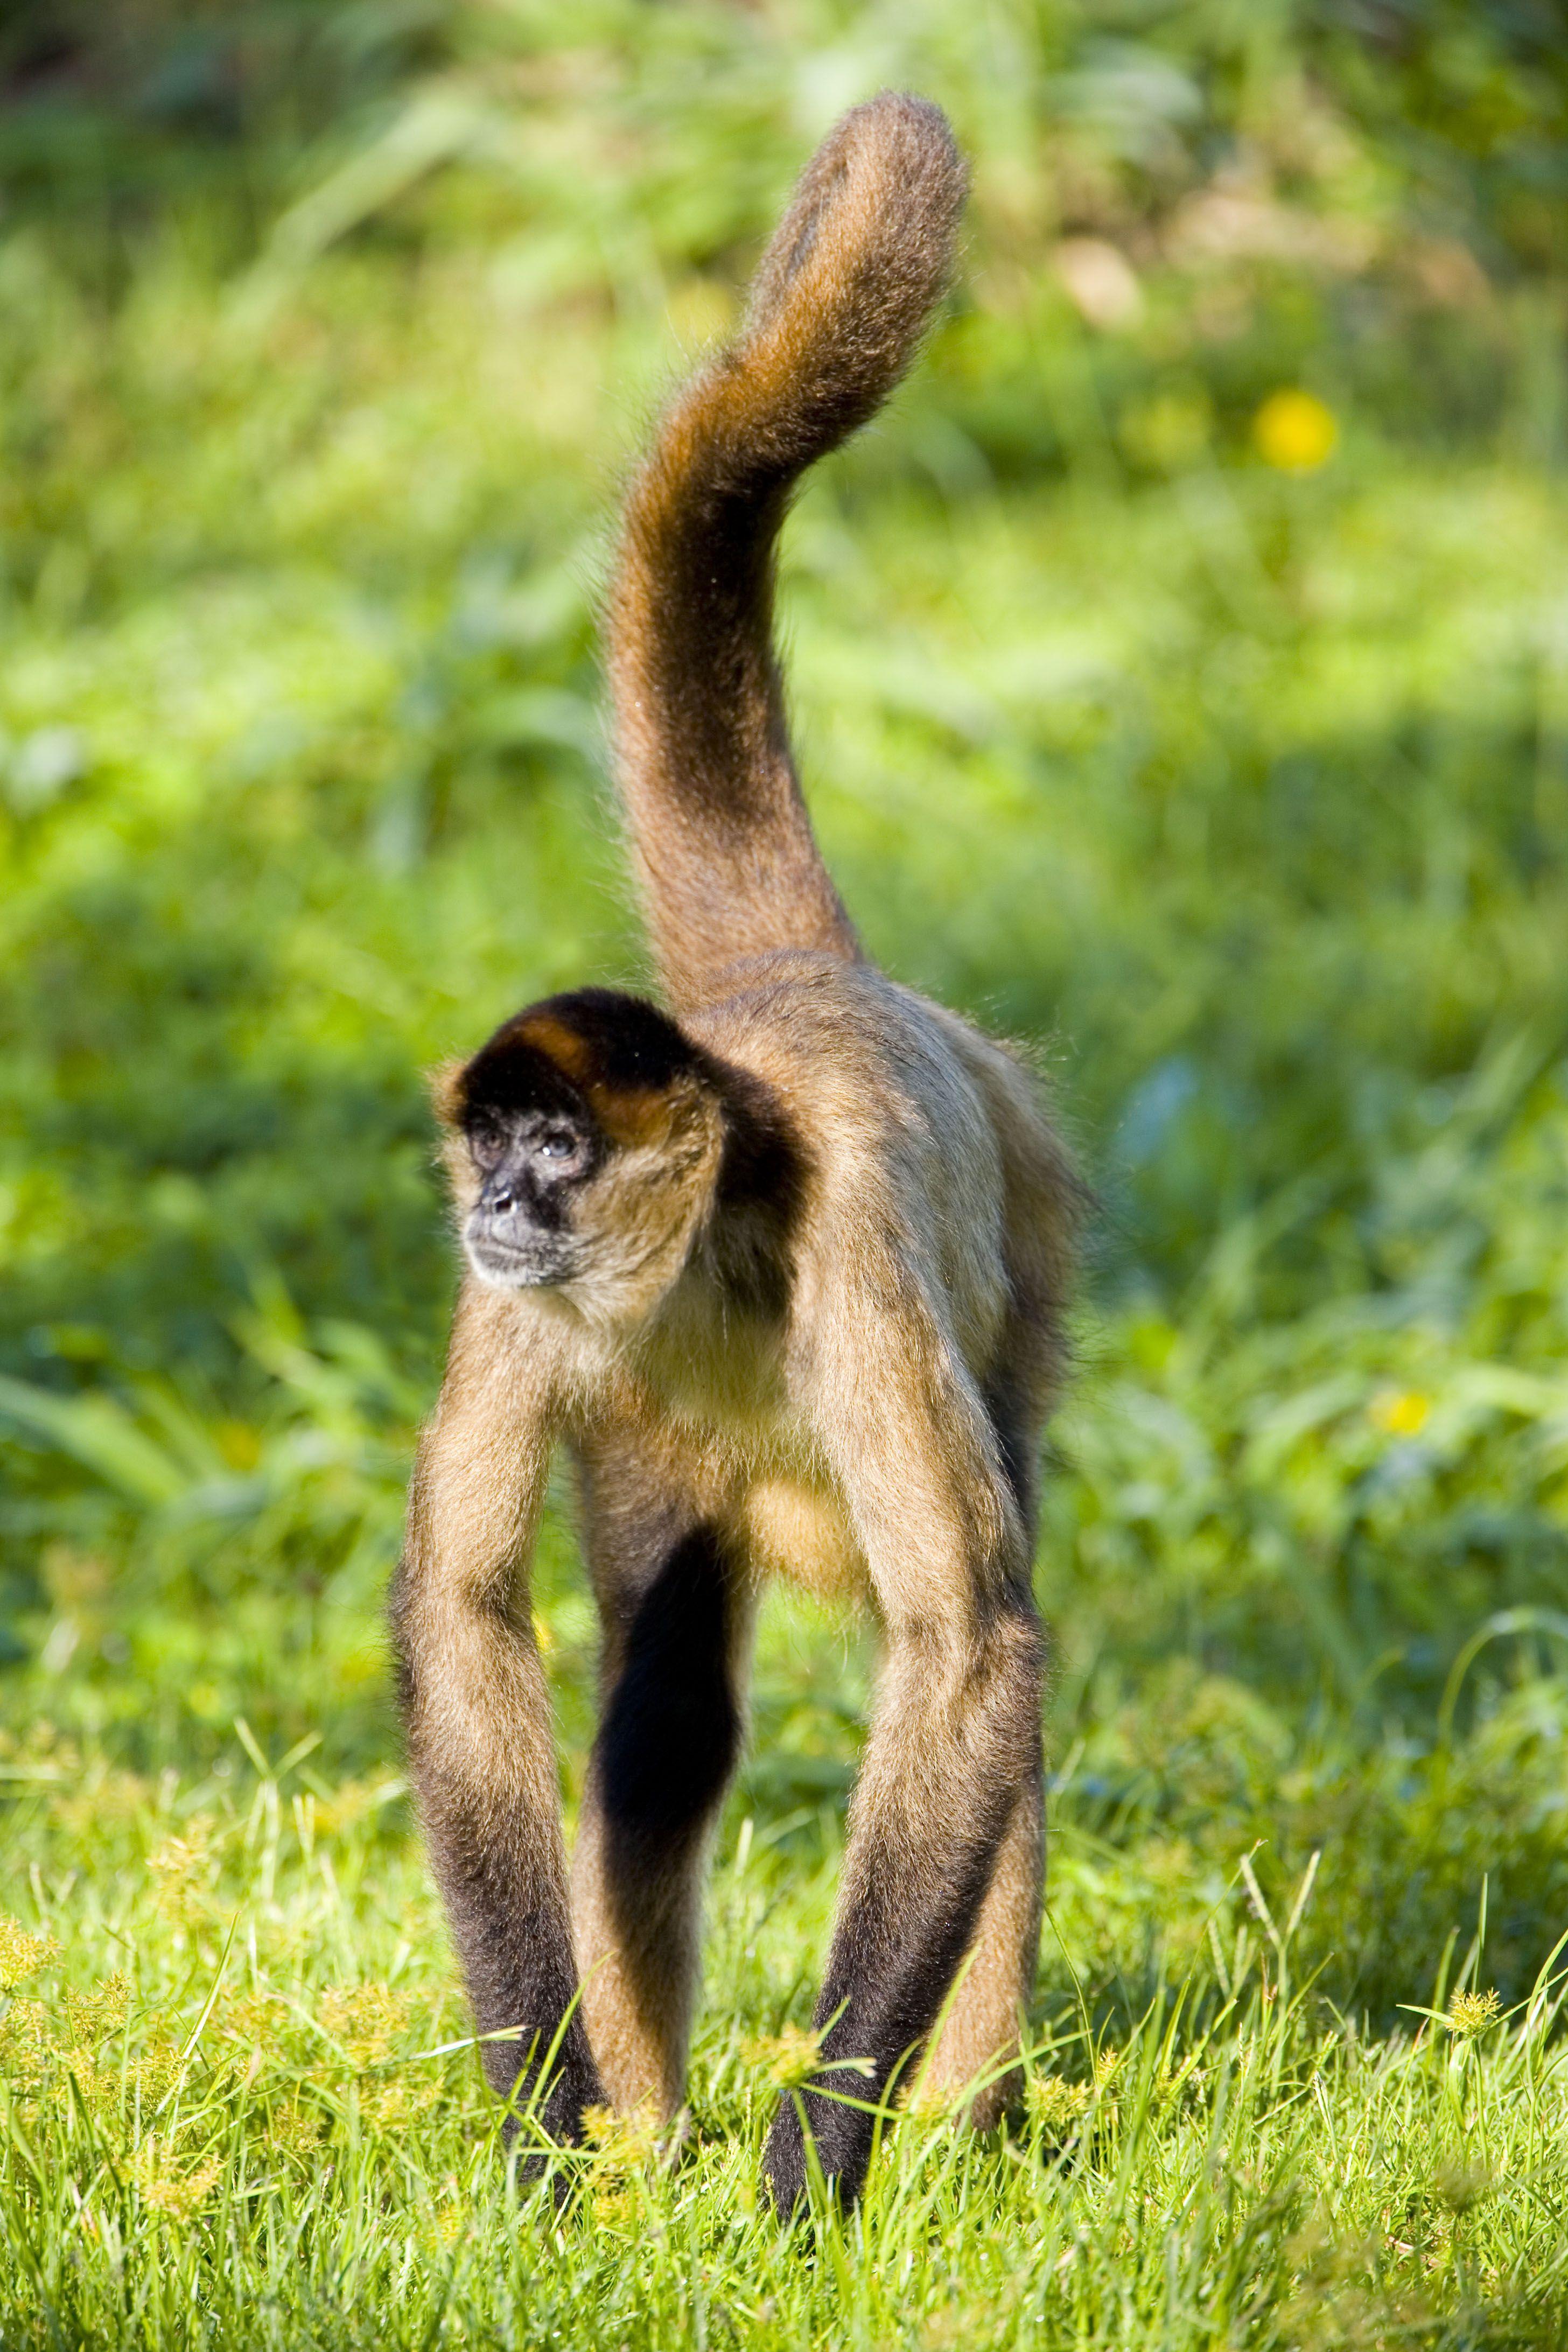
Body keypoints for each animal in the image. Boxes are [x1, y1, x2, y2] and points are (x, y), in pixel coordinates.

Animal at [389, 90, 1080, 2217]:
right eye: (490, 1150)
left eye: (554, 1144)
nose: (494, 1201)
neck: (712, 1228)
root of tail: (790, 980)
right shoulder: (513, 1302)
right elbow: (460, 1618)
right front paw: (544, 2139)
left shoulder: (846, 1232)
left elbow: (969, 1654)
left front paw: (812, 2169)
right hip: (649, 1449)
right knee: (663, 1721)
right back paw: (647, 2132)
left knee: (986, 1634)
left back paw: (958, 2123)